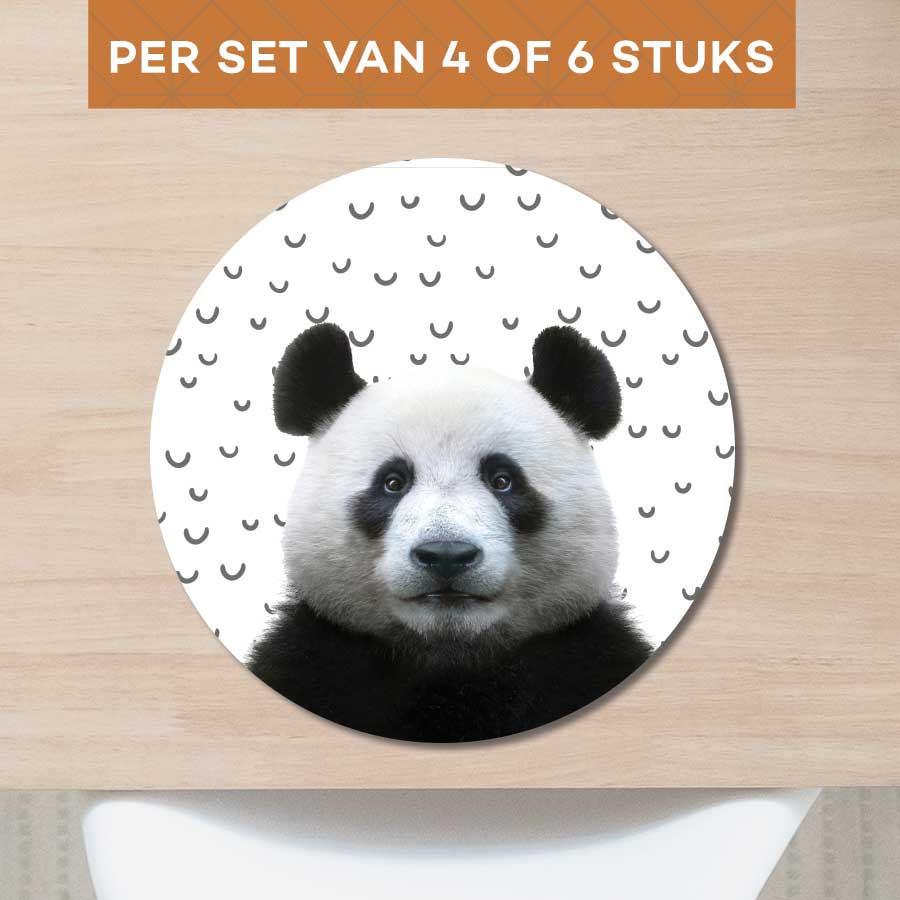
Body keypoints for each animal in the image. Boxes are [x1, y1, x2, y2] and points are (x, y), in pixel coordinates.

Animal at [247, 322, 653, 742]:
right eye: (393, 482)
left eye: (503, 480)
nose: (446, 555)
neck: (451, 663)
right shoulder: (314, 663)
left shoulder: (586, 660)